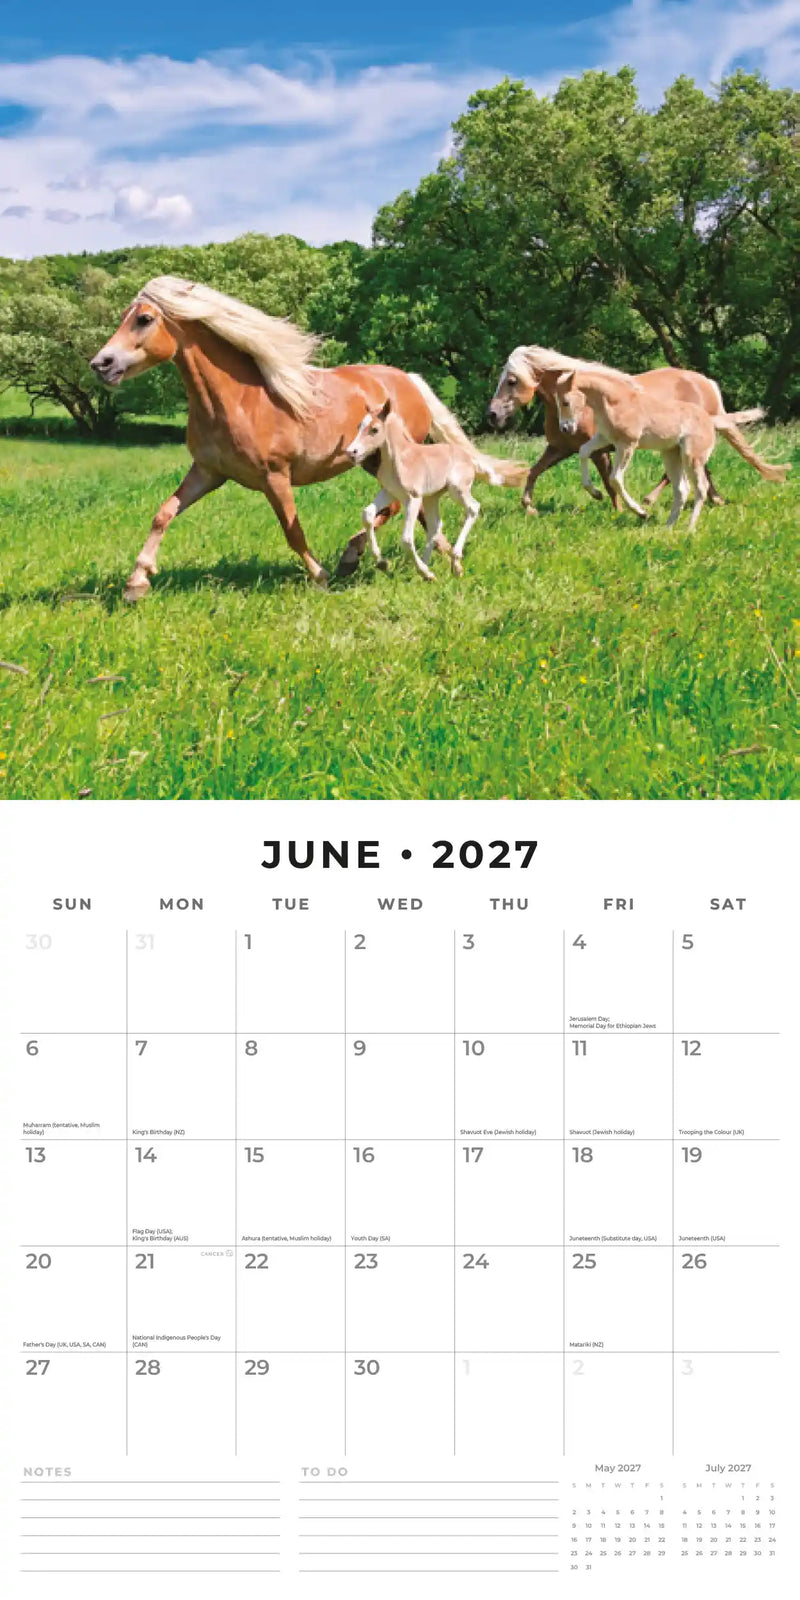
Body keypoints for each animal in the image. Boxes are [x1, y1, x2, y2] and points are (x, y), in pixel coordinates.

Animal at [346, 396, 499, 579]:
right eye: (358, 426)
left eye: (374, 429)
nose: (351, 452)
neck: (399, 460)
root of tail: (469, 458)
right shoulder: (390, 492)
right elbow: (367, 514)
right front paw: (382, 562)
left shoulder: (413, 498)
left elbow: (406, 539)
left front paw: (422, 571)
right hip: (432, 497)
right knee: (435, 526)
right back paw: (427, 568)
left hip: (457, 490)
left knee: (473, 507)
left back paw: (452, 564)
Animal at [487, 345, 790, 511]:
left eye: (511, 381)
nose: (492, 414)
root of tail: (706, 383)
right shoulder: (560, 448)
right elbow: (534, 471)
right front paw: (529, 506)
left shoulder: (601, 450)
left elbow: (609, 481)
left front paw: (616, 508)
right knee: (702, 469)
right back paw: (715, 500)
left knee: (680, 472)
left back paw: (650, 500)